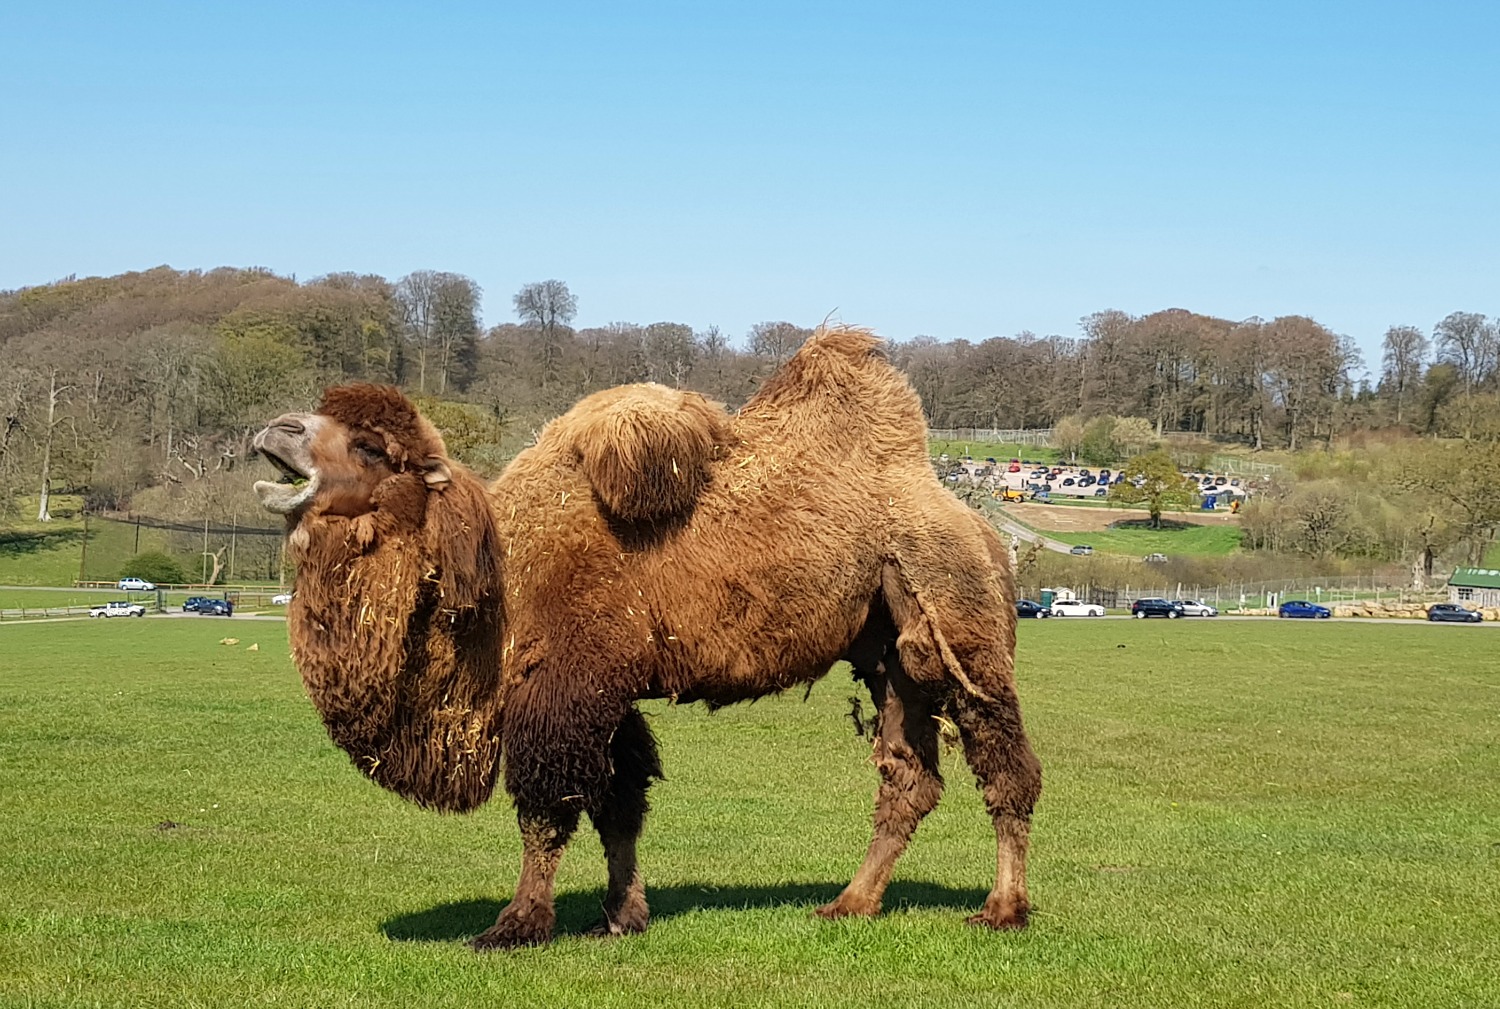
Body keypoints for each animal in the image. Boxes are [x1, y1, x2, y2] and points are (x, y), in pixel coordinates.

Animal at [252, 325, 1041, 950]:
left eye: (369, 446)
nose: (275, 429)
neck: (498, 580)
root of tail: (978, 527)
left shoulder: (565, 686)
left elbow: (549, 808)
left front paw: (516, 924)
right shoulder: (611, 693)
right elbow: (620, 801)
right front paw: (620, 916)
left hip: (960, 623)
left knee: (1005, 765)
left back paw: (1001, 909)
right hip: (888, 653)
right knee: (909, 778)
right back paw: (850, 902)